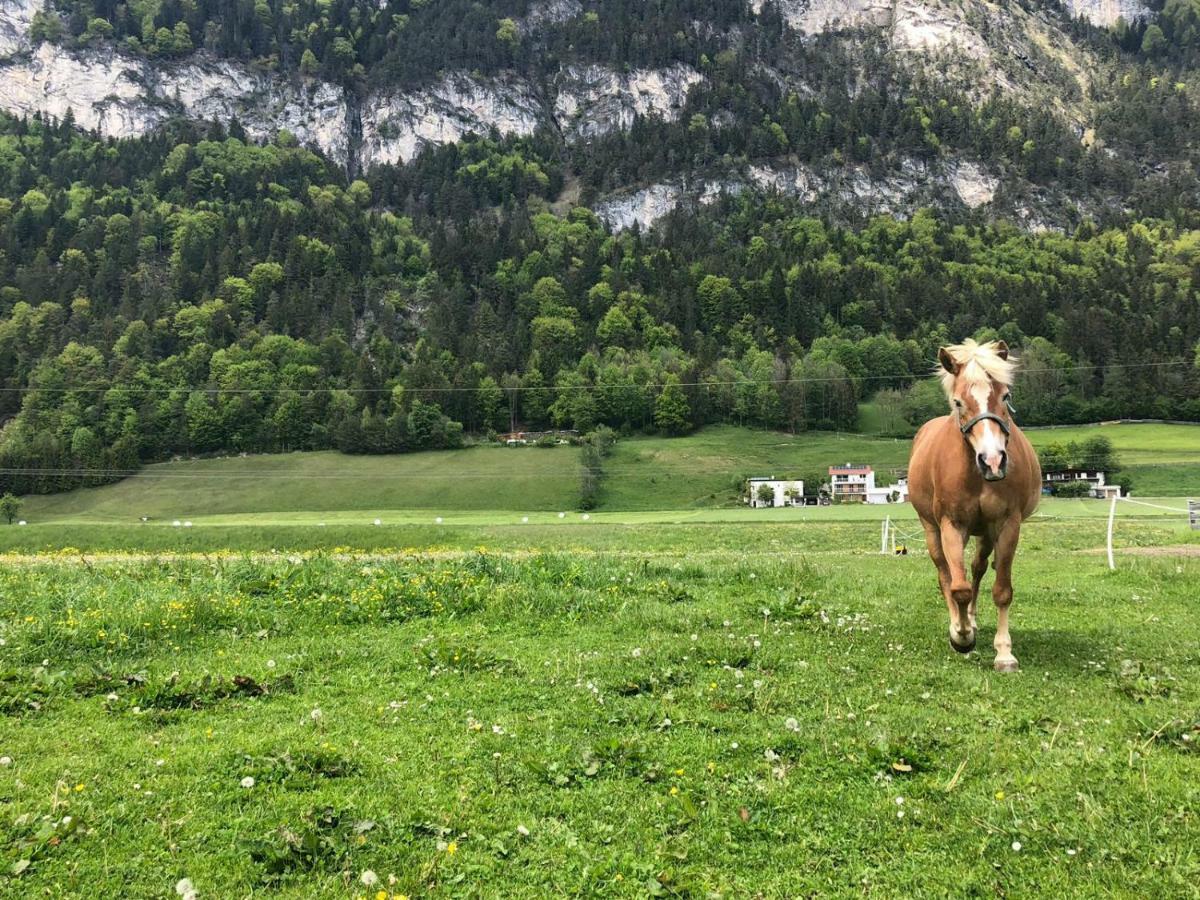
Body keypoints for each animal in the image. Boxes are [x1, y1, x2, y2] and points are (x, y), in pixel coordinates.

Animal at [907, 340, 1041, 672]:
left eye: (1005, 396)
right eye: (958, 402)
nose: (992, 460)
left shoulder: (1007, 525)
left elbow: (1002, 590)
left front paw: (1004, 652)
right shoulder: (951, 525)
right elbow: (958, 587)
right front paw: (961, 635)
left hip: (985, 532)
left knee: (978, 567)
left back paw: (973, 618)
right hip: (932, 529)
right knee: (945, 573)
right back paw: (959, 622)